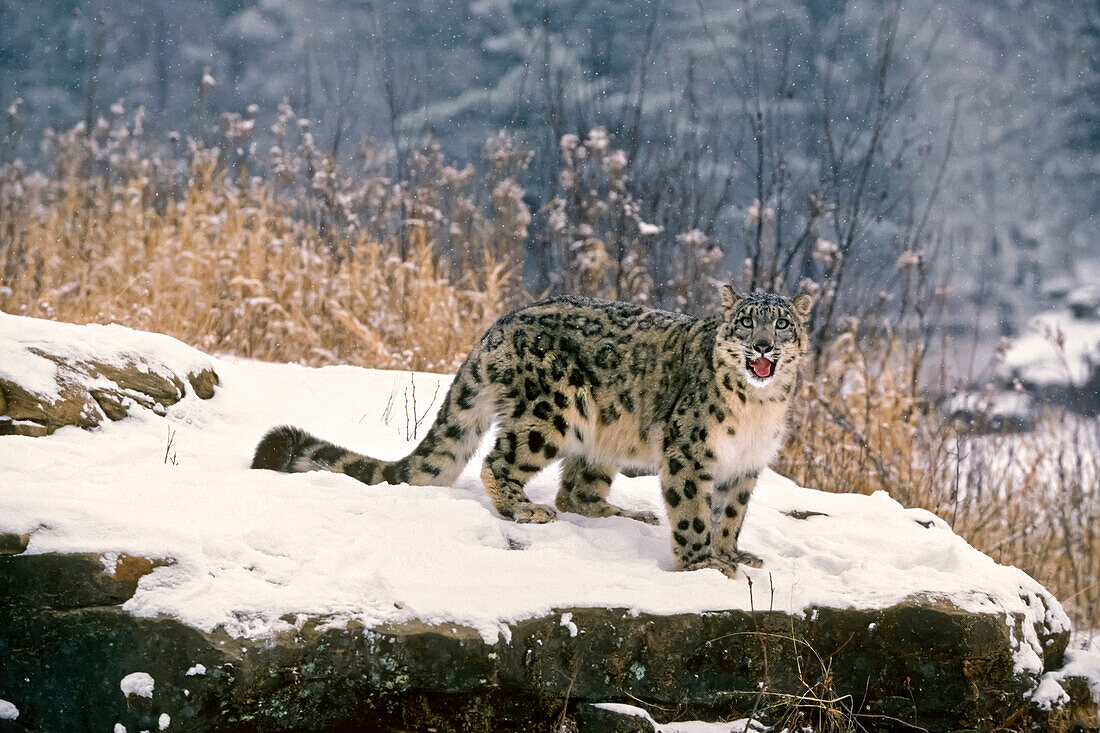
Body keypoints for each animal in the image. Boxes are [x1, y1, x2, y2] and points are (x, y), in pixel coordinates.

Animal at [253, 286, 814, 576]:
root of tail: (498, 325)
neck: (758, 409)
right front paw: (702, 565)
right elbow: (695, 513)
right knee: (498, 462)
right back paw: (525, 509)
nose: (763, 346)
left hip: (601, 437)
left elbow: (729, 516)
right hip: (552, 411)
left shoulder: (744, 467)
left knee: (578, 491)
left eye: (782, 323)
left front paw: (733, 555)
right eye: (746, 322)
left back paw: (627, 513)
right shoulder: (690, 453)